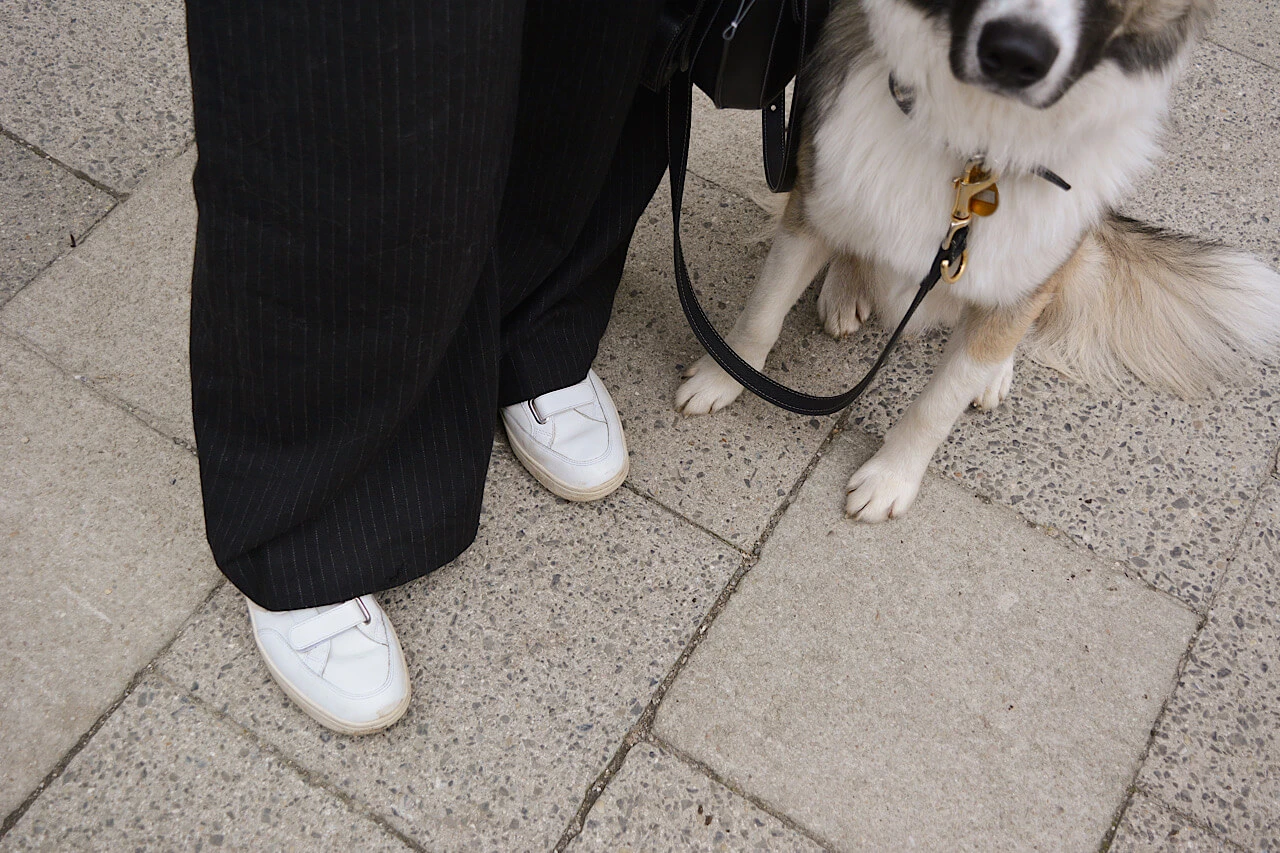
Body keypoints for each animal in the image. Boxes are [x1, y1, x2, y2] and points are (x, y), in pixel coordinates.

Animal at [675, 0, 1274, 517]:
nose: (1015, 54)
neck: (977, 152)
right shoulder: (814, 199)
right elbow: (762, 314)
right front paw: (722, 377)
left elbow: (937, 405)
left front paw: (892, 478)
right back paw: (846, 289)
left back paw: (991, 371)